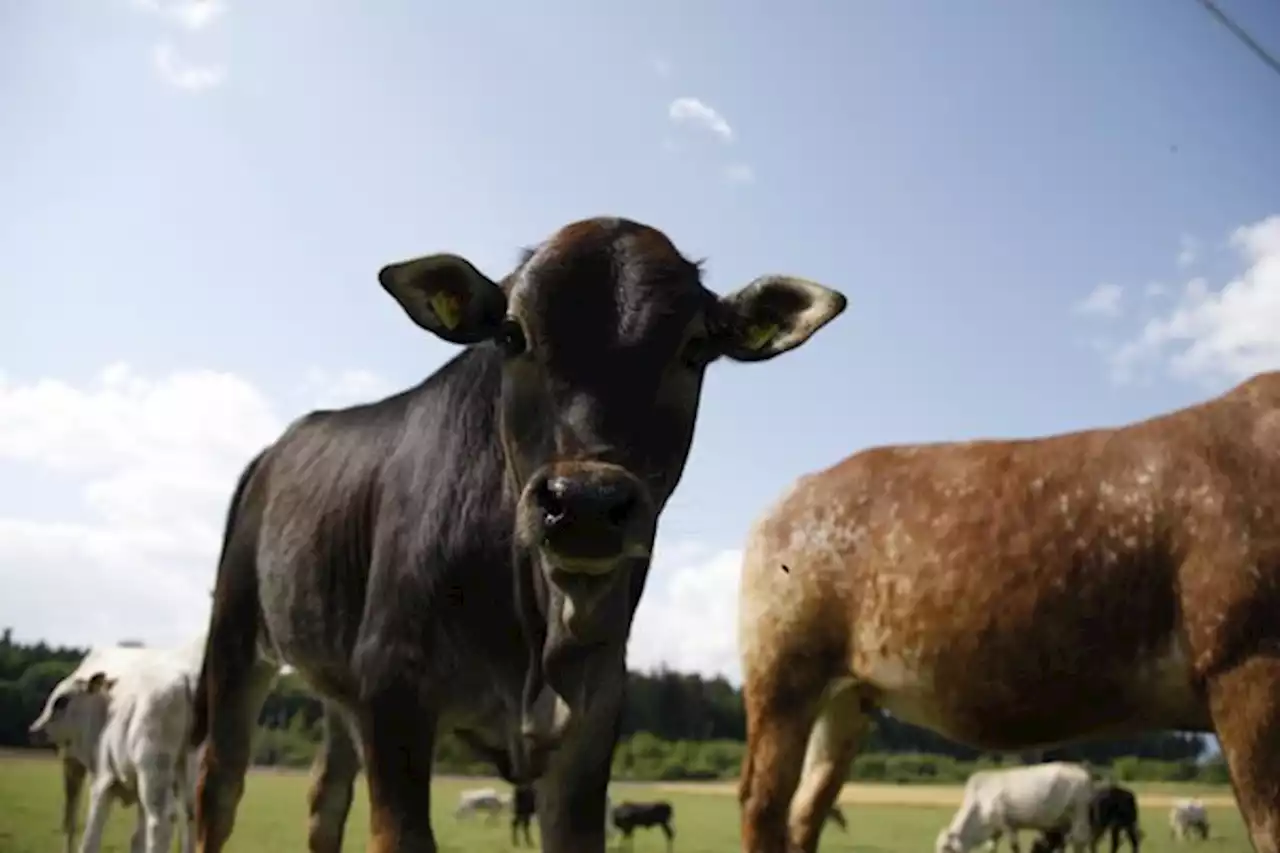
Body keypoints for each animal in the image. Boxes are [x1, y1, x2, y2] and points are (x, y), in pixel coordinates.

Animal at [29, 637, 204, 850]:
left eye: (61, 701)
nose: (34, 731)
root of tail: (184, 680)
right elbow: (137, 839)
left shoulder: (103, 781)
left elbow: (89, 838)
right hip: (187, 771)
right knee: (190, 817)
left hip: (153, 773)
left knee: (162, 818)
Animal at [186, 217, 849, 850]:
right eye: (512, 333)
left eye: (694, 348)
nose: (584, 503)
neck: (540, 630)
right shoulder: (392, 692)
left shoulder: (592, 719)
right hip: (236, 641)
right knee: (218, 788)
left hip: (336, 689)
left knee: (325, 799)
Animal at [737, 371, 1280, 850]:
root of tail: (784, 500)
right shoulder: (1245, 660)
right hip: (784, 674)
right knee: (762, 804)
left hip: (847, 698)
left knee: (806, 810)